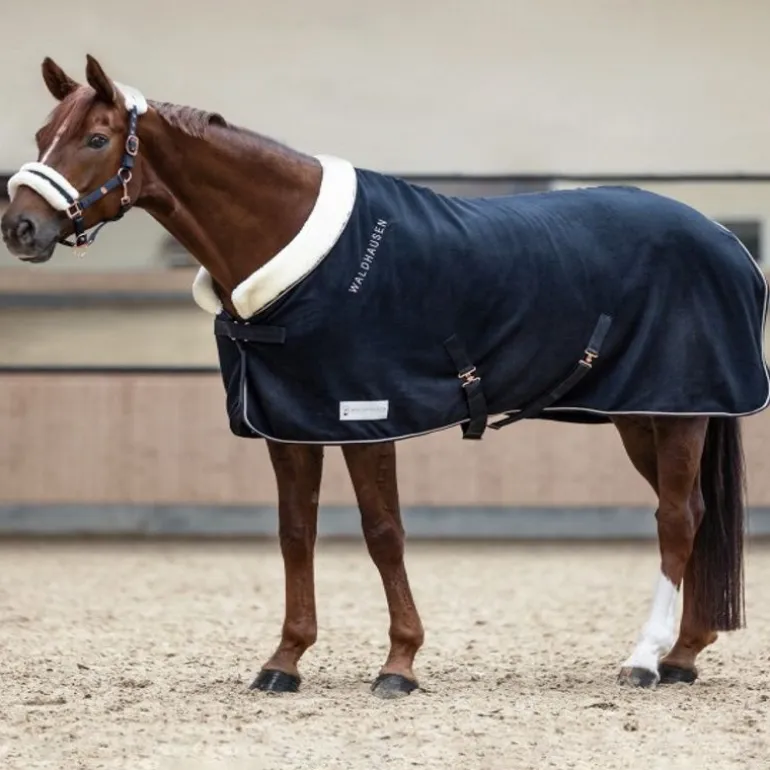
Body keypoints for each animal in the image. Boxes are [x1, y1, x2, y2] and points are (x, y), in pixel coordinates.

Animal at [2, 54, 768, 699]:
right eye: (42, 133)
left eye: (96, 139)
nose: (20, 228)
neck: (302, 256)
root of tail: (724, 240)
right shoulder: (290, 423)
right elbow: (296, 533)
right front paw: (284, 661)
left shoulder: (365, 414)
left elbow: (383, 532)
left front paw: (399, 663)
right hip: (646, 416)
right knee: (694, 514)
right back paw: (682, 655)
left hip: (675, 412)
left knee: (676, 519)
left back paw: (644, 659)